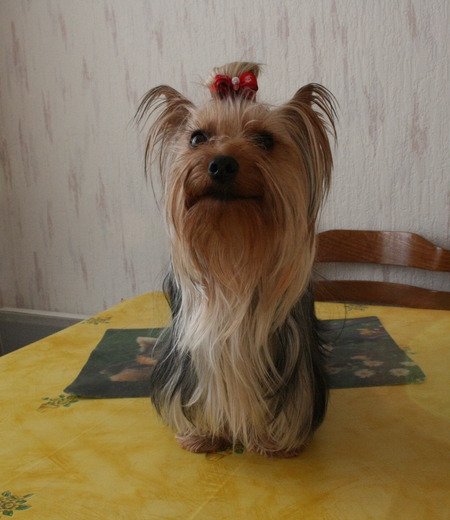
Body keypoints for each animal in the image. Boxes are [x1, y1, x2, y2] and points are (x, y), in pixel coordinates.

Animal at [136, 62, 336, 457]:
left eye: (265, 140)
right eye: (197, 138)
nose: (222, 164)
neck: (232, 248)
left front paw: (275, 445)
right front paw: (203, 435)